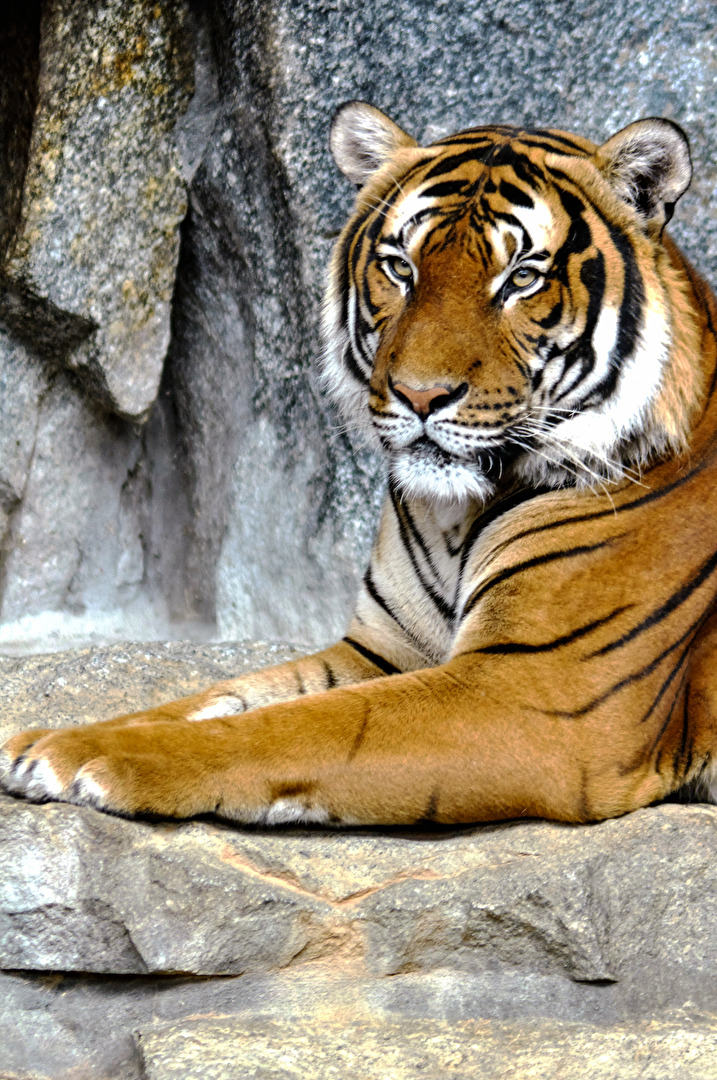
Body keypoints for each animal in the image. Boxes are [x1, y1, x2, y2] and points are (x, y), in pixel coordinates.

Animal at [3, 102, 717, 827]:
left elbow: (299, 727)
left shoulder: (536, 687)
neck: (453, 517)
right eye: (400, 267)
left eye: (521, 278)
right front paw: (53, 740)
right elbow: (221, 695)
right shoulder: (381, 650)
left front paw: (95, 759)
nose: (421, 395)